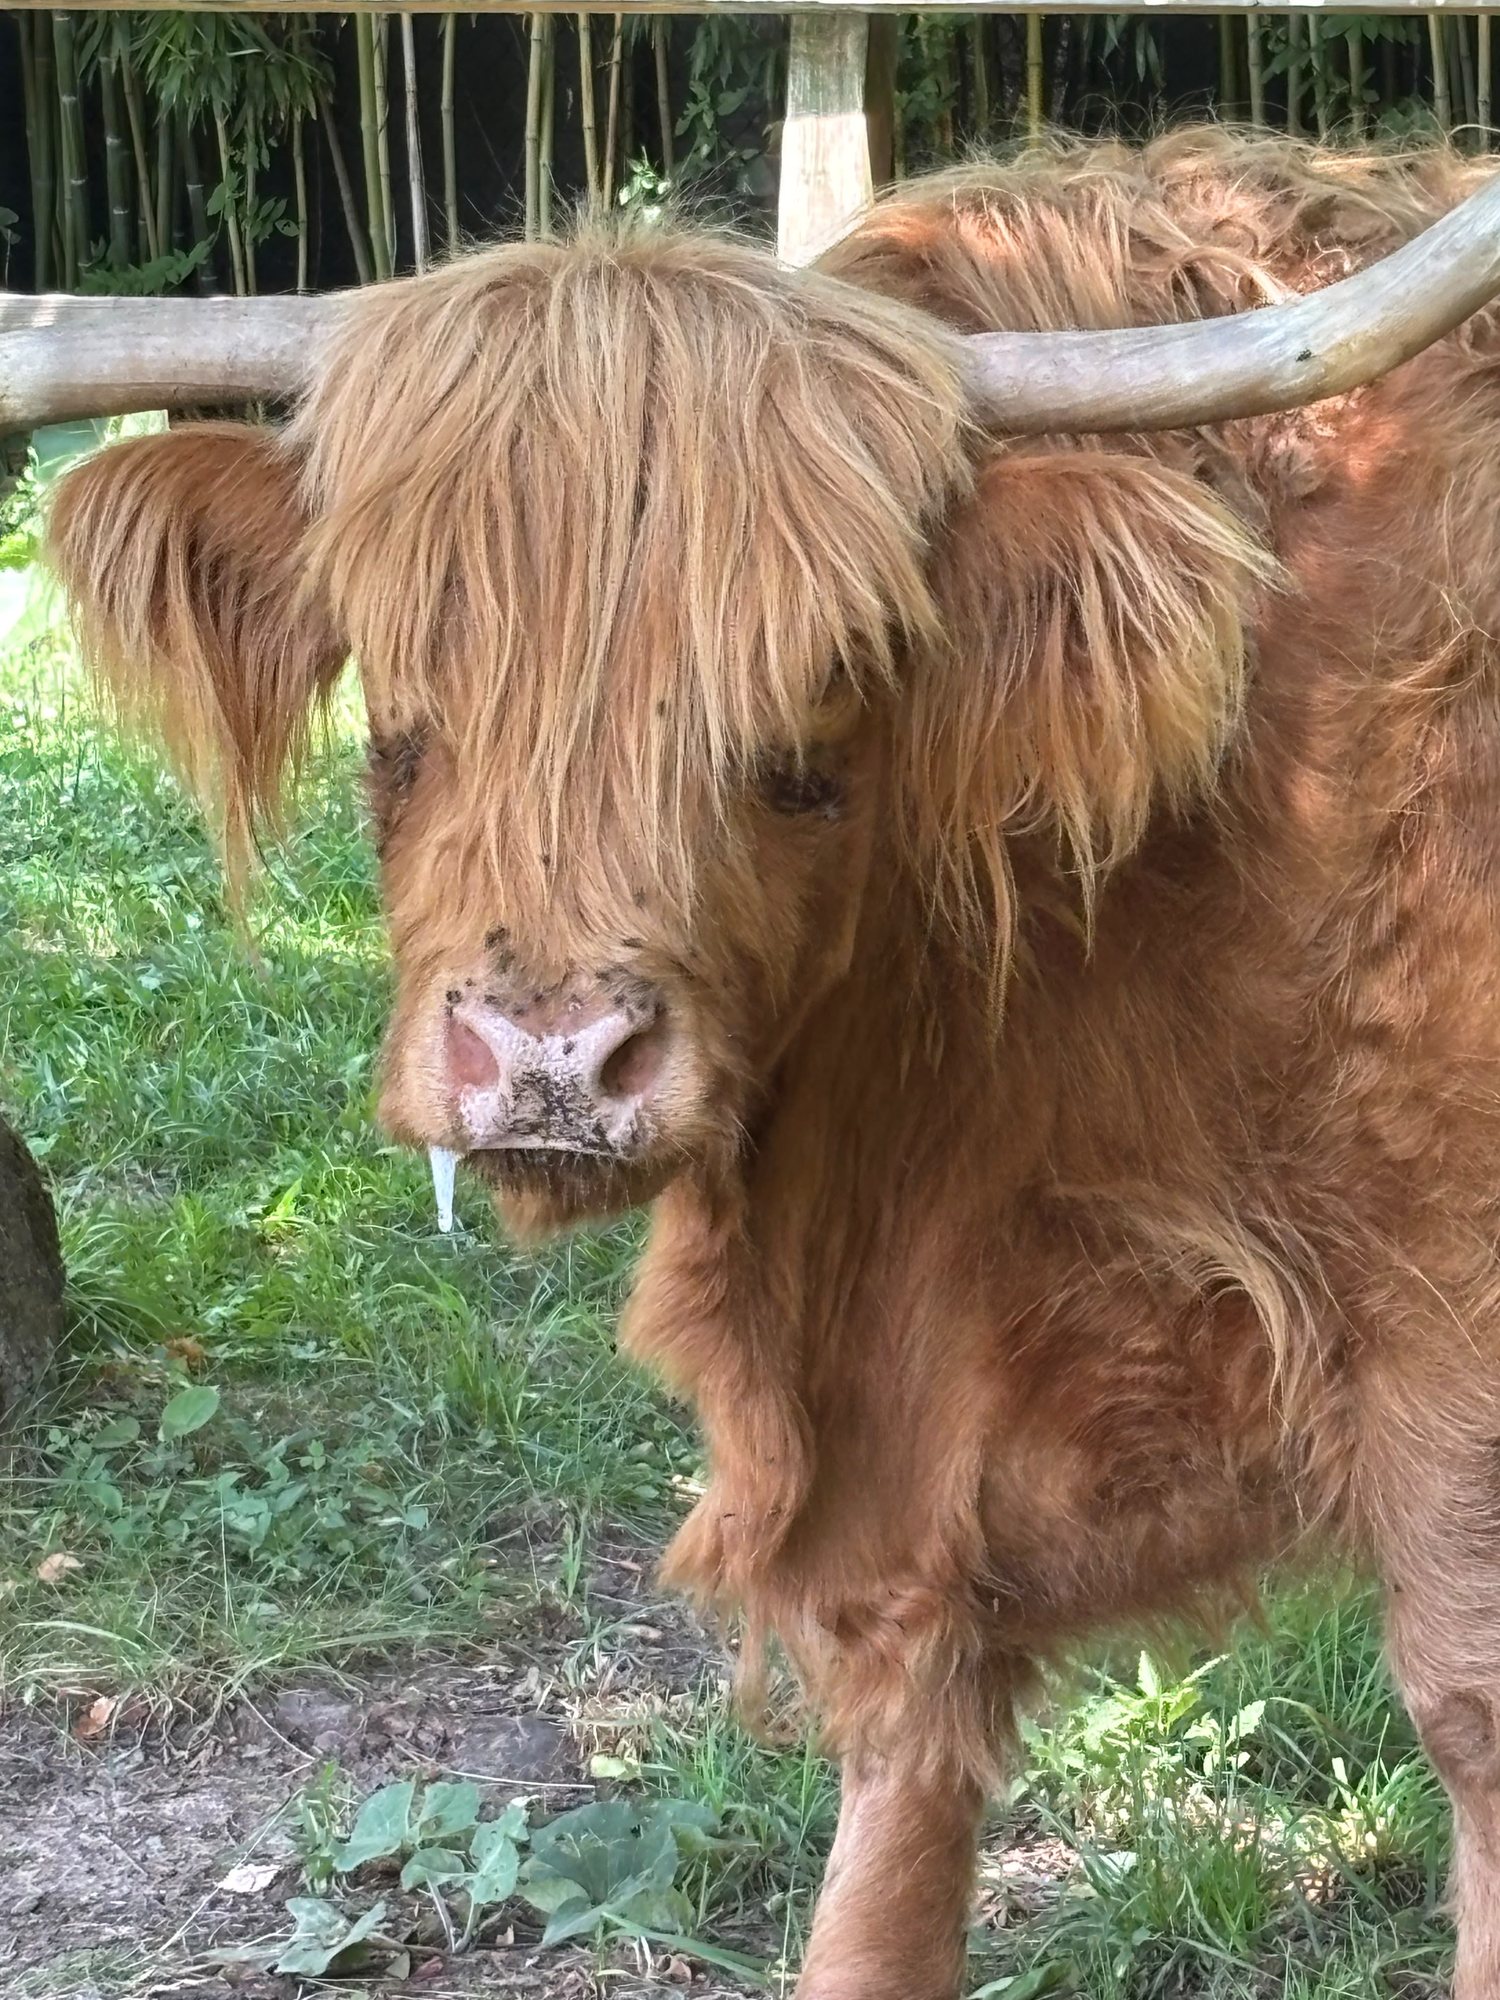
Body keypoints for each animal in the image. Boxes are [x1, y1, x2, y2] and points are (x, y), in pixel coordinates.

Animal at [38, 128, 1500, 1997]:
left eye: (817, 706)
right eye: (401, 705)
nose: (555, 1057)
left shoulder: (1453, 1374)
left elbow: (1466, 1718)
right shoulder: (915, 1465)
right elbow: (894, 1823)